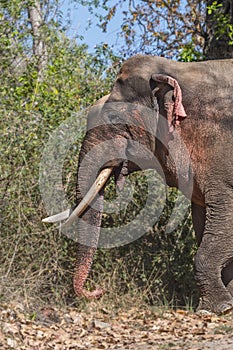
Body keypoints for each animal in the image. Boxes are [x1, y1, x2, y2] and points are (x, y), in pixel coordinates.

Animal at [42, 54, 233, 314]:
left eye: (113, 118)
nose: (98, 291)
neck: (176, 70)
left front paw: (216, 309)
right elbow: (203, 219)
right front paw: (225, 303)